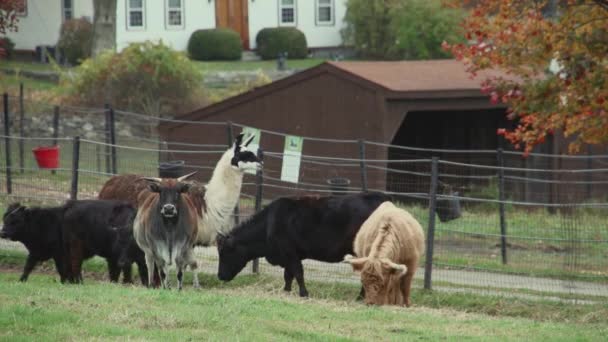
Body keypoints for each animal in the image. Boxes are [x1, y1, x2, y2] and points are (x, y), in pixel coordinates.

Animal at [216, 192, 392, 296]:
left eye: (224, 253)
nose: (219, 276)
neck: (268, 225)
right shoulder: (288, 255)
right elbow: (288, 275)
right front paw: (286, 291)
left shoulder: (290, 252)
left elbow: (298, 273)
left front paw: (304, 293)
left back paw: (362, 296)